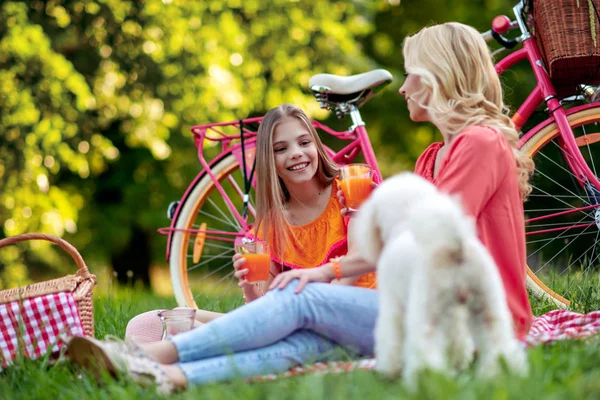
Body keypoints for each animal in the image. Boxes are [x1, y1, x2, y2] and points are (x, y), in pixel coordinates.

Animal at [354, 172, 528, 388]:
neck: (404, 223)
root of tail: (455, 247)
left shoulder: (393, 304)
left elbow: (391, 337)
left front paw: (390, 371)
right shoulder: (456, 314)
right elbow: (458, 340)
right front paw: (457, 363)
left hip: (429, 306)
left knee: (425, 349)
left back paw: (427, 383)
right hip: (487, 302)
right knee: (497, 342)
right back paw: (497, 377)